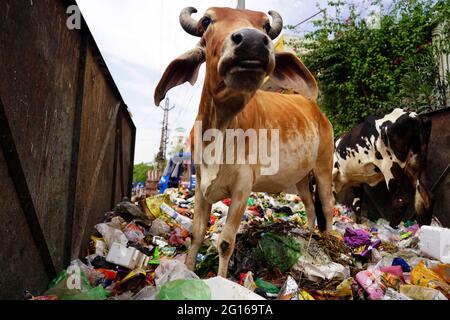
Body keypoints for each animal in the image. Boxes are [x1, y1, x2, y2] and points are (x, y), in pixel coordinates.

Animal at [155, 6, 334, 278]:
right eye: (206, 21)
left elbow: (225, 242)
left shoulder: (242, 186)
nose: (253, 41)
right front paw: (187, 271)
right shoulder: (201, 185)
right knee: (311, 208)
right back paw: (308, 240)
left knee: (328, 206)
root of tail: (317, 111)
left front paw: (220, 280)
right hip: (302, 178)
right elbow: (196, 234)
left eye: (265, 25)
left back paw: (328, 241)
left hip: (323, 169)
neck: (220, 127)